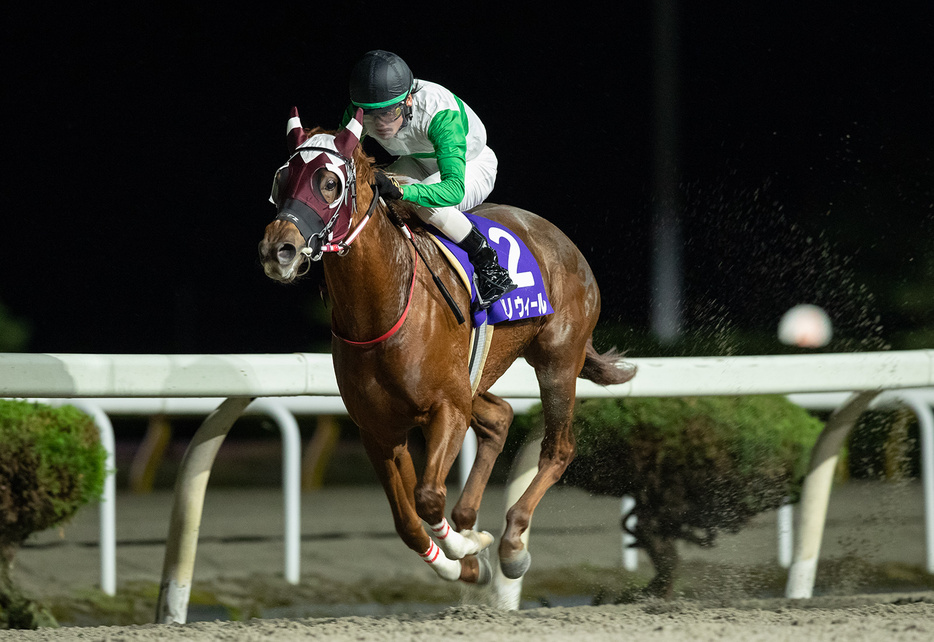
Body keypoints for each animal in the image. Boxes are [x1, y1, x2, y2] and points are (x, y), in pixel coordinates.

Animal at [258, 109, 636, 584]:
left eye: (330, 183)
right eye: (281, 179)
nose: (279, 249)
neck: (383, 311)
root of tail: (559, 238)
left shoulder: (446, 408)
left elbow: (428, 497)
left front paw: (466, 547)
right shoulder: (378, 427)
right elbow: (407, 521)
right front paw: (460, 562)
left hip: (557, 360)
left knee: (559, 447)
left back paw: (512, 542)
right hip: (477, 377)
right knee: (499, 417)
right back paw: (473, 524)